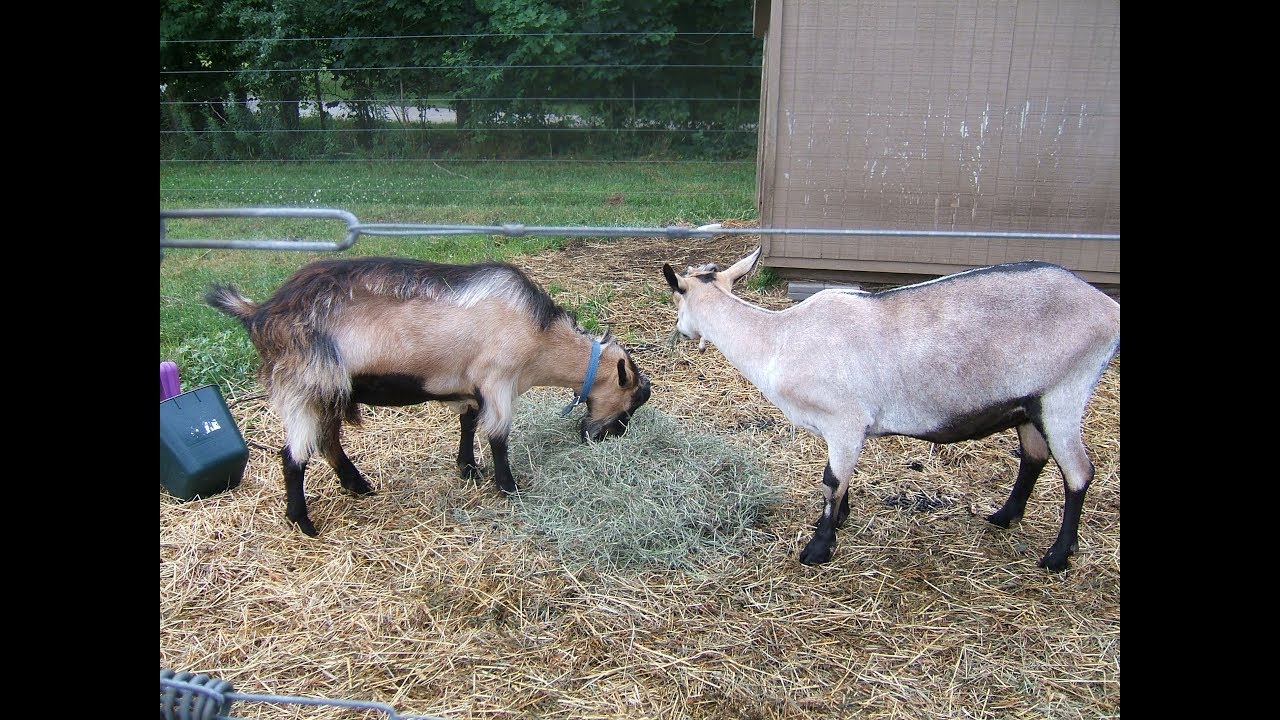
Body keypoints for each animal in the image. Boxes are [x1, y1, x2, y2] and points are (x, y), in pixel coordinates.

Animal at [207, 256, 652, 536]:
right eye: (630, 404)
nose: (599, 437)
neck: (539, 334)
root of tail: (259, 312)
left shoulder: (471, 387)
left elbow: (468, 423)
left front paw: (468, 469)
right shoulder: (498, 381)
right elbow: (498, 437)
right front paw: (508, 487)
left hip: (329, 392)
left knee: (328, 441)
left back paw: (358, 485)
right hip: (304, 385)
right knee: (293, 457)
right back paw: (303, 522)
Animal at [662, 248, 1119, 571]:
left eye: (678, 302)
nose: (680, 332)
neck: (780, 339)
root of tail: (1108, 309)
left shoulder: (845, 420)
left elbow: (831, 481)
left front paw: (818, 548)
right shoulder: (841, 432)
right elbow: (840, 479)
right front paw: (840, 520)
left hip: (1064, 394)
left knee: (1078, 472)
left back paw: (1056, 558)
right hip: (1028, 403)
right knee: (1034, 455)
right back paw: (1003, 517)